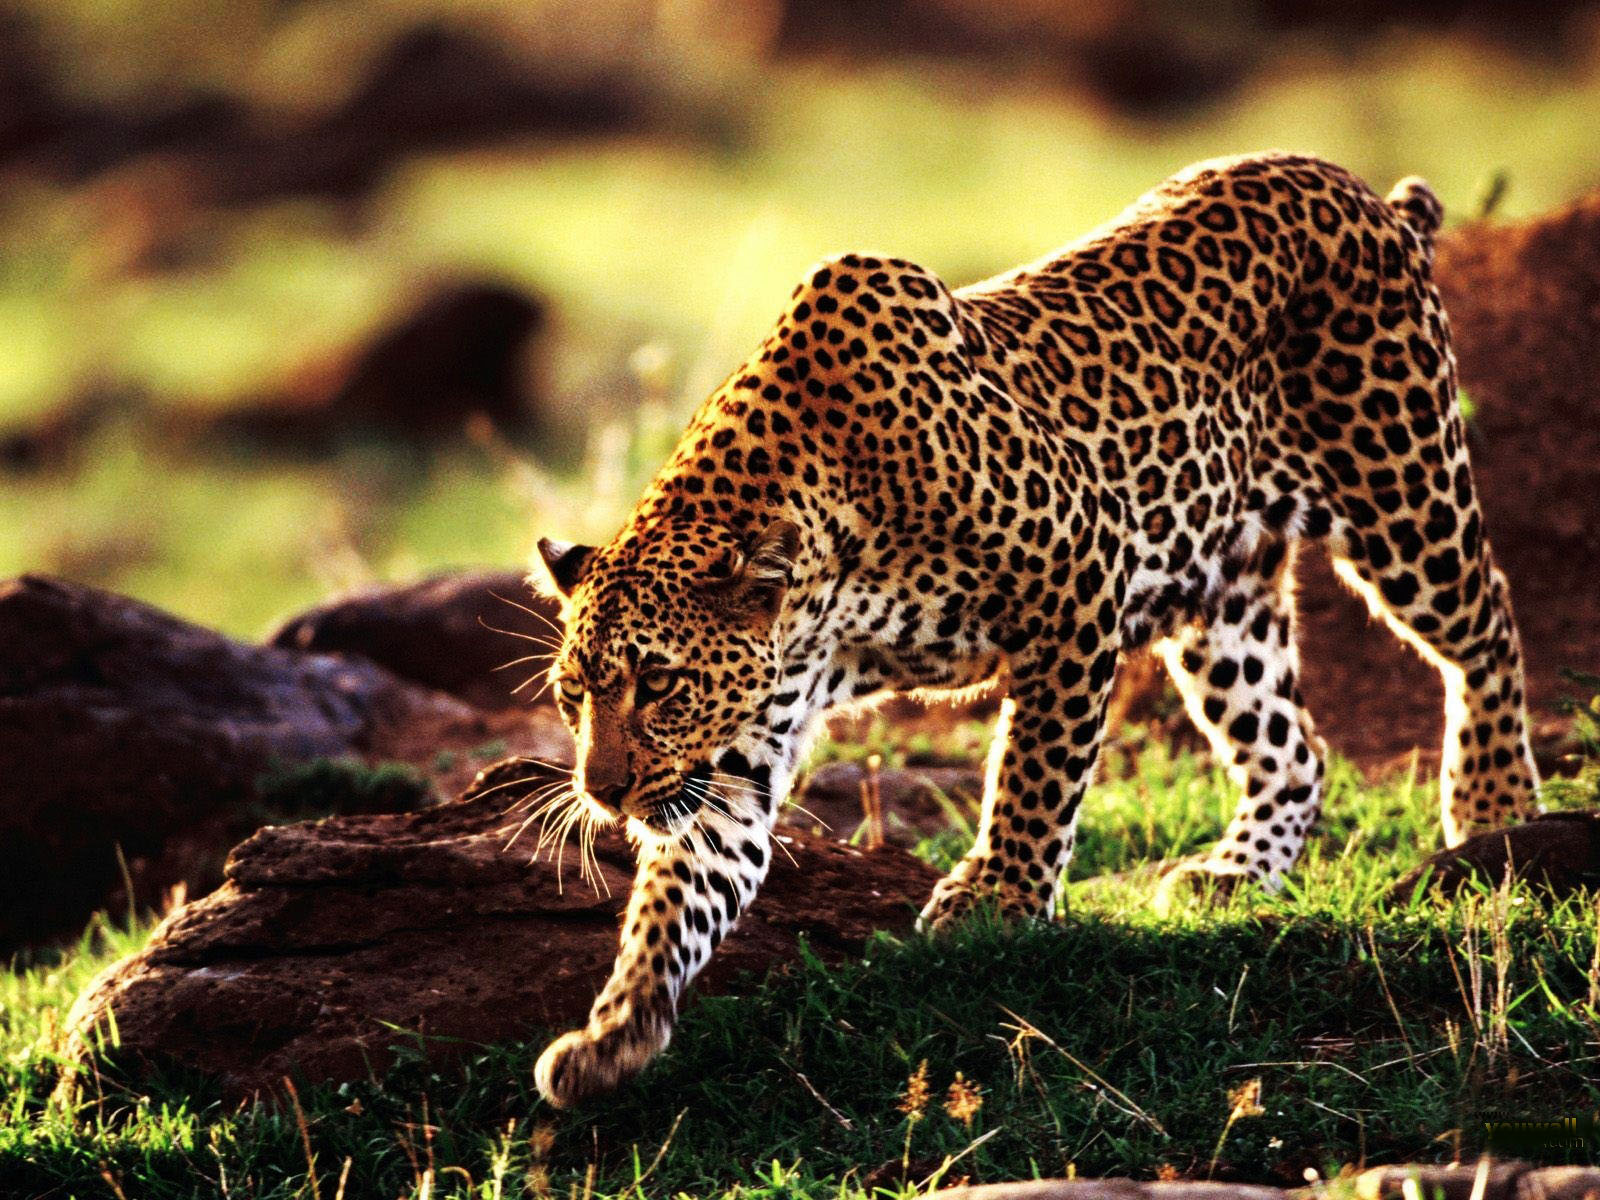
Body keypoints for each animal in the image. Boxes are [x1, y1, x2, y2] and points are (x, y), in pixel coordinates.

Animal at [524, 155, 1536, 1113]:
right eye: (574, 695)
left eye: (659, 684)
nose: (604, 793)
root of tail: (1363, 193)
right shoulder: (738, 752)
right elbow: (683, 892)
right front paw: (614, 1033)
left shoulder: (1081, 573)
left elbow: (1034, 771)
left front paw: (998, 900)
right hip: (1223, 596)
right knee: (1293, 749)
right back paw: (1234, 873)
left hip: (1403, 496)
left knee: (1488, 623)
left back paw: (1494, 809)